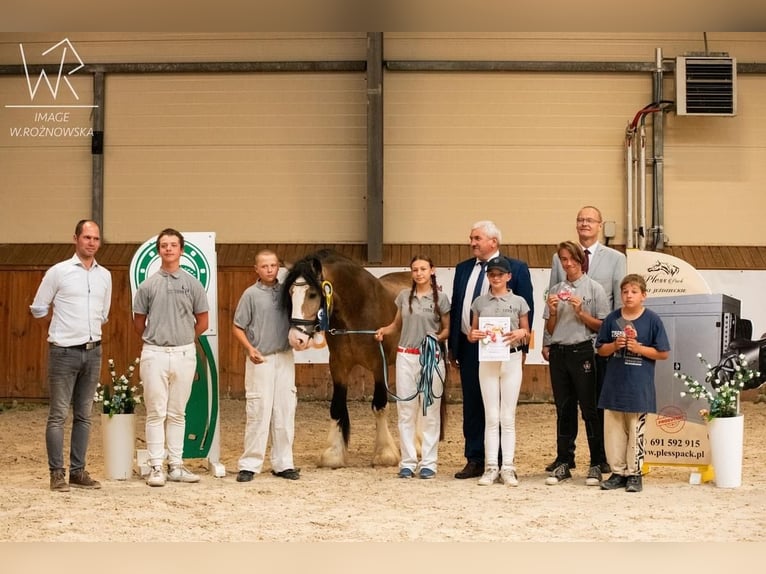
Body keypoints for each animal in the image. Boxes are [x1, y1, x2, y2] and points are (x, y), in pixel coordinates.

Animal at [284, 250, 414, 470]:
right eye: (291, 293)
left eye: (313, 294)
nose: (296, 338)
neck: (357, 309)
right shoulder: (338, 365)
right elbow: (336, 407)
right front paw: (333, 454)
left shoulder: (378, 366)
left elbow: (379, 406)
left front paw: (385, 454)